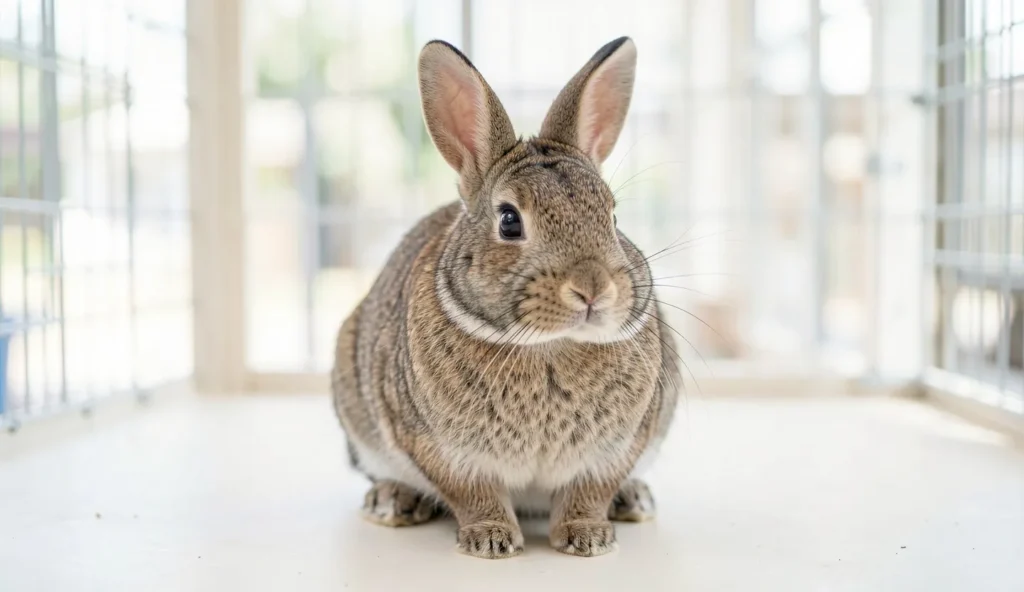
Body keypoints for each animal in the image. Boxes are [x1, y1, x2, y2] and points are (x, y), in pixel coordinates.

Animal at [331, 36, 679, 559]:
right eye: (510, 221)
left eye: (613, 217)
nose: (593, 287)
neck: (549, 345)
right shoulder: (439, 449)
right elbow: (474, 494)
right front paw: (490, 540)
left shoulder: (620, 446)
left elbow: (589, 492)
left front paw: (587, 536)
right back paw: (393, 501)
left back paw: (633, 500)